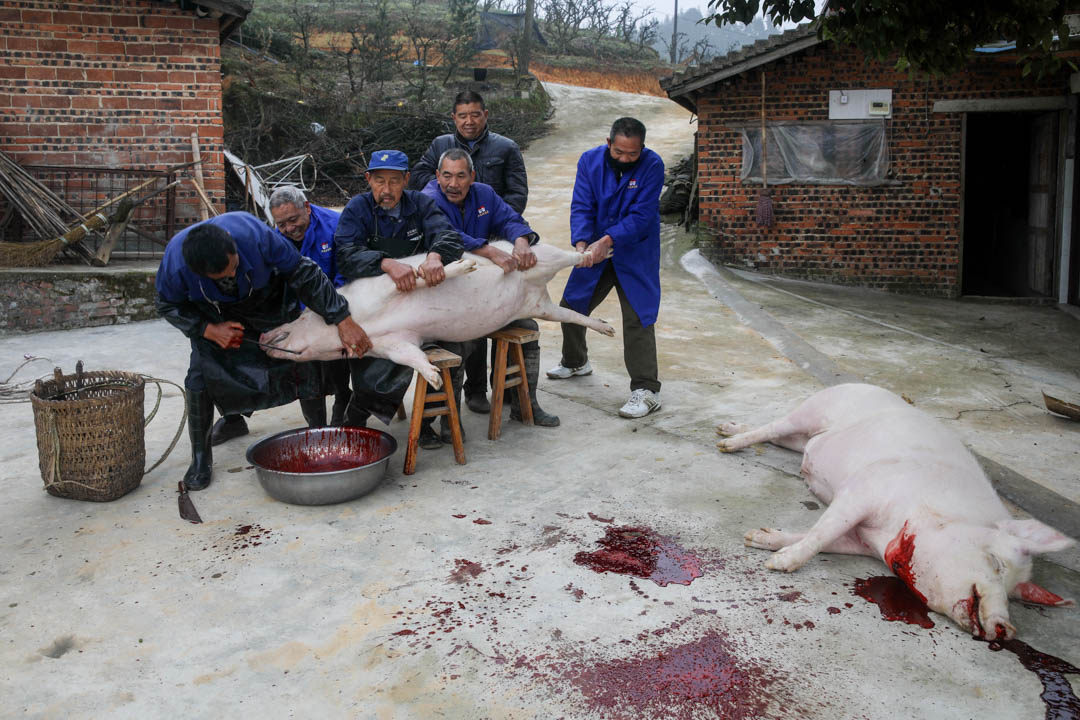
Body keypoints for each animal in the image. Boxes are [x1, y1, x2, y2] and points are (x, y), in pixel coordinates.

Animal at [259, 240, 617, 388]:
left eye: (299, 315)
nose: (262, 337)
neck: (360, 322)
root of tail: (538, 288)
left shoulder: (387, 287)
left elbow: (422, 276)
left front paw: (467, 265)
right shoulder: (391, 344)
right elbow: (410, 356)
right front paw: (432, 377)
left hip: (541, 257)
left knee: (570, 257)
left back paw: (599, 252)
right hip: (540, 307)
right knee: (569, 315)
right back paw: (608, 329)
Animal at [712, 386, 1075, 639]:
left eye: (1014, 595)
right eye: (997, 564)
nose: (1006, 630)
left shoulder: (863, 542)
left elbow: (828, 538)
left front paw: (756, 538)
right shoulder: (864, 490)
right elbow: (823, 532)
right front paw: (777, 565)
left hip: (801, 439)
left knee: (781, 438)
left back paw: (726, 428)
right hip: (811, 411)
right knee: (774, 426)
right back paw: (725, 442)